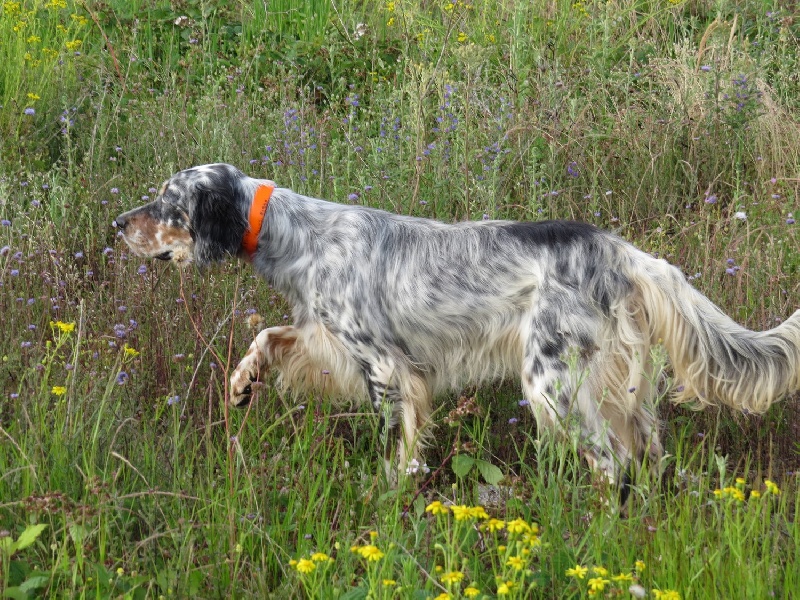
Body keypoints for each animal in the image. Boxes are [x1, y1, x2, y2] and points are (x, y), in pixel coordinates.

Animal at [114, 164, 800, 492]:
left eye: (168, 201)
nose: (117, 224)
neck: (298, 236)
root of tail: (625, 252)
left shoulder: (385, 364)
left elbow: (399, 435)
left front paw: (395, 487)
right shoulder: (323, 338)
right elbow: (269, 337)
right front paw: (241, 383)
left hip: (553, 383)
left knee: (615, 467)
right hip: (610, 384)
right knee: (647, 456)